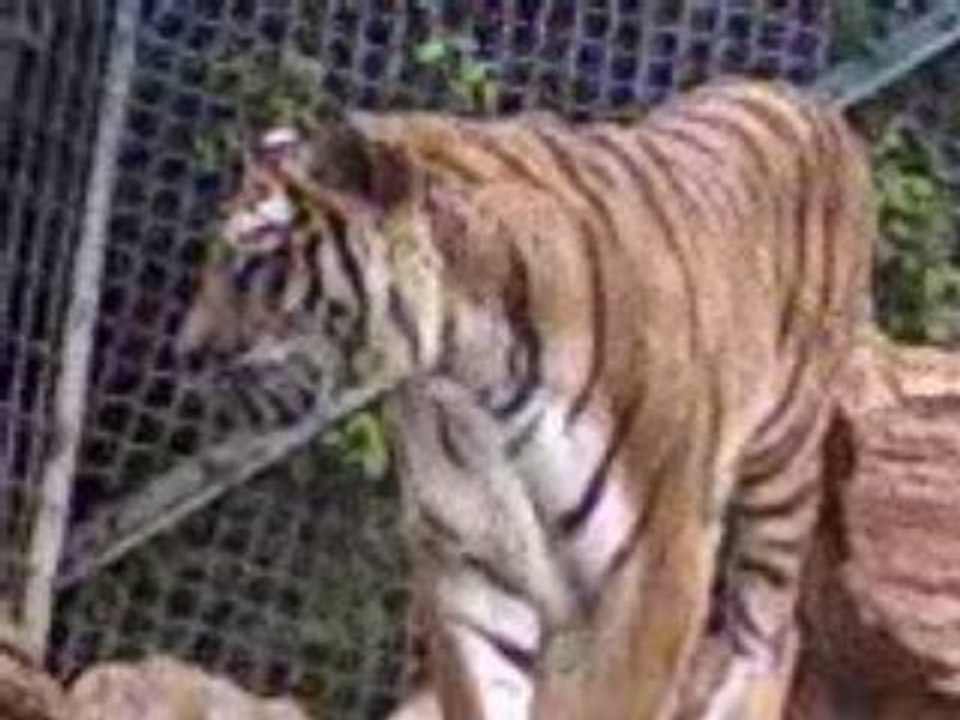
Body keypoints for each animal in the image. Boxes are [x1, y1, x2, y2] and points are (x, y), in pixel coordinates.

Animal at [177, 78, 874, 720]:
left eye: (253, 265)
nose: (186, 353)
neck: (472, 375)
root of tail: (798, 97)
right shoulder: (470, 559)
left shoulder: (658, 564)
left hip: (782, 466)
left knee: (775, 634)